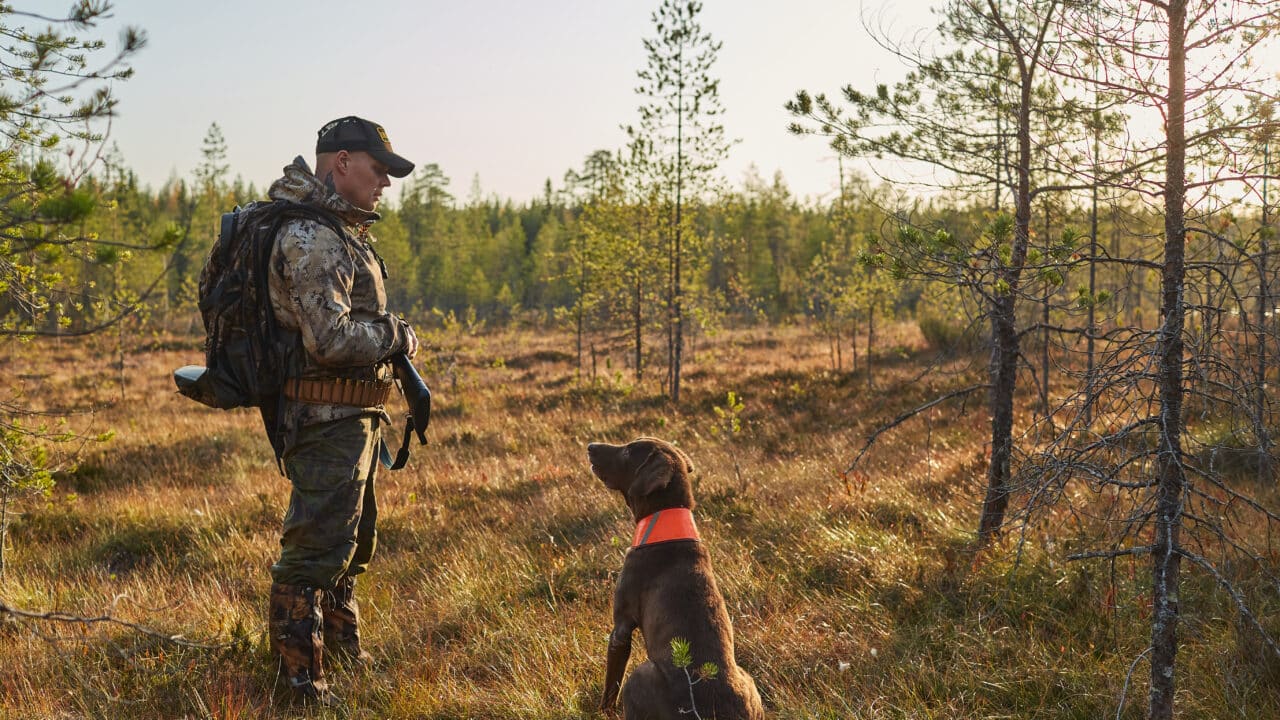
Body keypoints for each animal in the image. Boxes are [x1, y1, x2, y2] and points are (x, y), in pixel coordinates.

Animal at [586, 438, 757, 717]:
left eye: (628, 451)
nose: (590, 446)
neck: (665, 518)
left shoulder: (621, 628)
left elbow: (610, 687)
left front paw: (600, 712)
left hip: (641, 674)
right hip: (747, 678)